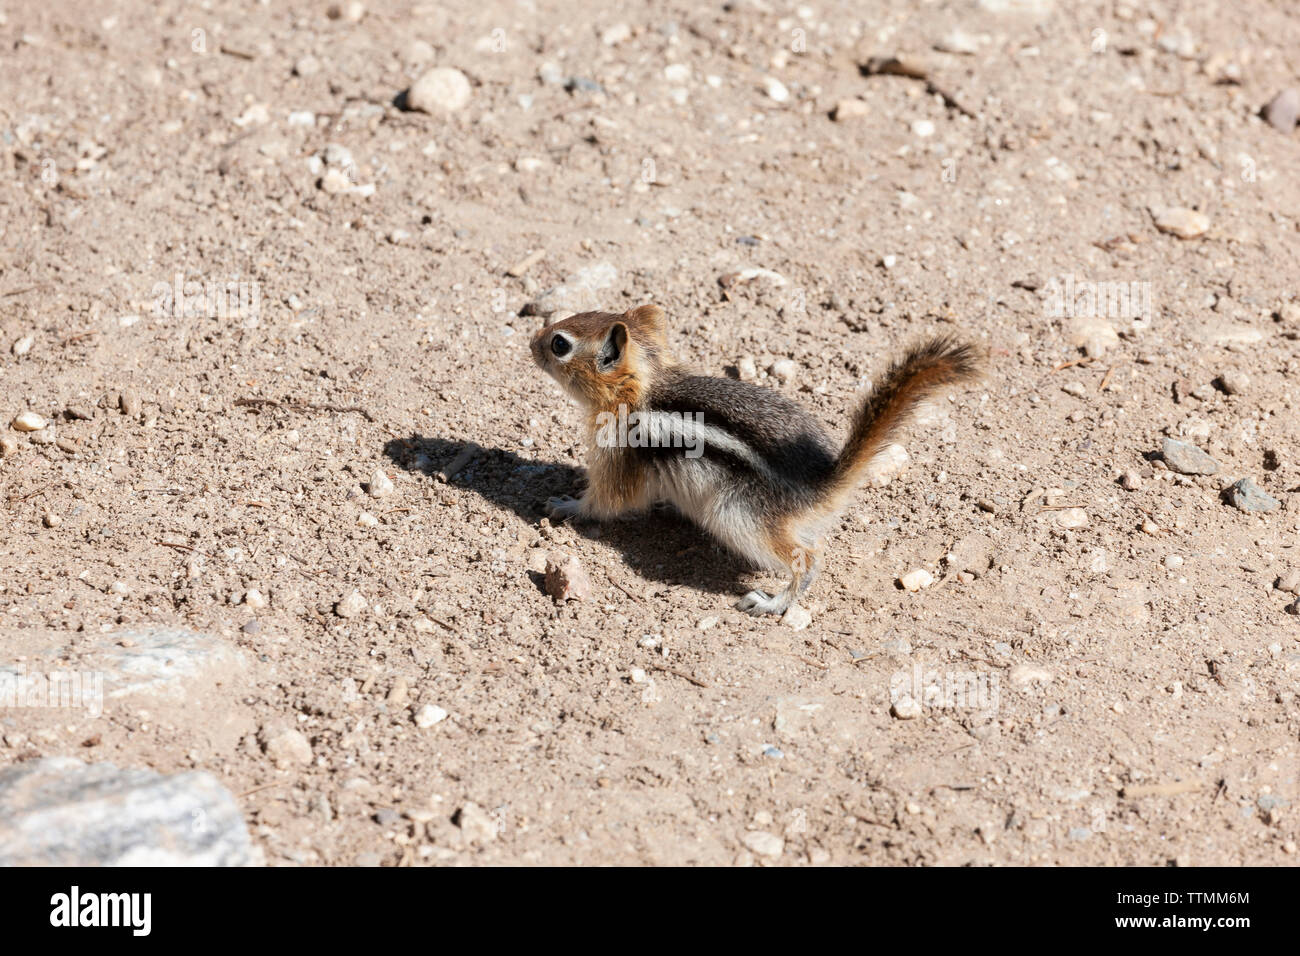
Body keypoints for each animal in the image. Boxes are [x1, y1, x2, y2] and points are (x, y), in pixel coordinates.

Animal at [529, 304, 981, 616]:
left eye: (559, 343)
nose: (531, 342)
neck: (641, 389)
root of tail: (824, 482)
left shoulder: (615, 460)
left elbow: (605, 502)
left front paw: (565, 504)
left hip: (736, 513)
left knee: (807, 560)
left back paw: (774, 603)